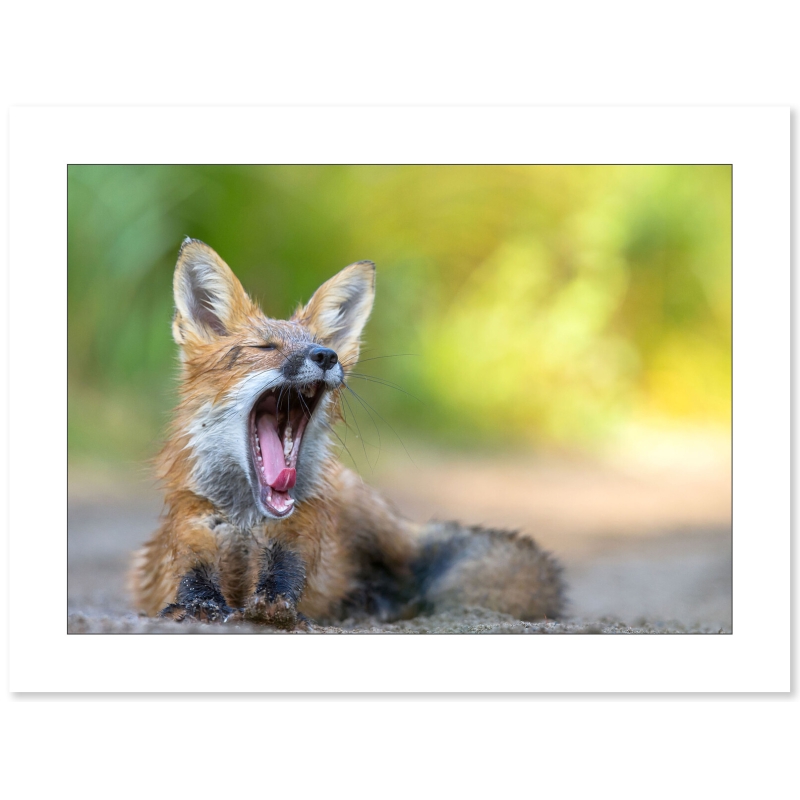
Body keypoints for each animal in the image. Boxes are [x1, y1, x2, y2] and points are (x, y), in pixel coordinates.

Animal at [129, 238, 565, 629]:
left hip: (372, 522)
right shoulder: (193, 529)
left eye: (321, 345)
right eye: (265, 347)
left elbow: (286, 580)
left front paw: (276, 609)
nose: (326, 356)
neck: (247, 521)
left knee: (414, 579)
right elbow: (193, 581)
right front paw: (198, 607)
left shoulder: (298, 534)